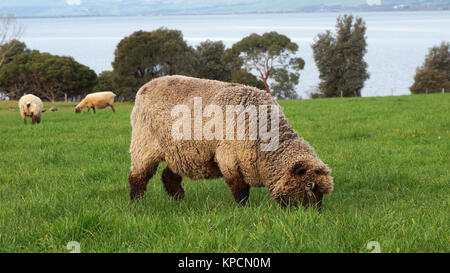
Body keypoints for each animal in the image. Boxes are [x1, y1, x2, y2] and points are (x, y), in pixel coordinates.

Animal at [128, 75, 332, 209]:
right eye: (308, 186)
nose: (315, 214)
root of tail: (146, 86)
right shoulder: (229, 158)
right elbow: (240, 188)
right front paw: (244, 209)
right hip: (144, 145)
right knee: (137, 176)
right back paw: (137, 203)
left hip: (180, 152)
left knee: (168, 176)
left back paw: (180, 200)